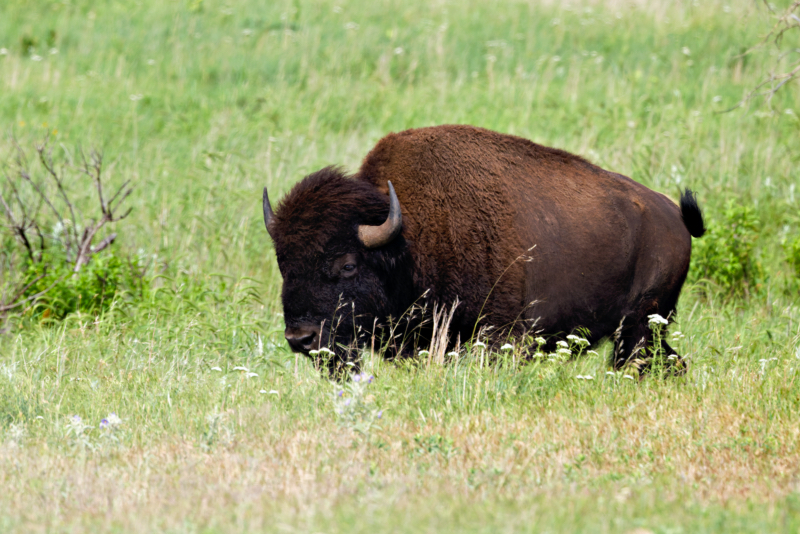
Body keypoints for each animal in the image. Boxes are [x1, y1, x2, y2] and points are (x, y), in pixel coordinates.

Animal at [262, 127, 708, 374]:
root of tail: (672, 214)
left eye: (348, 264)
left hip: (639, 327)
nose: (301, 338)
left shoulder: (499, 336)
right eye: (284, 264)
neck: (407, 239)